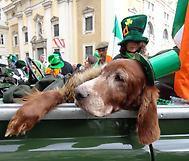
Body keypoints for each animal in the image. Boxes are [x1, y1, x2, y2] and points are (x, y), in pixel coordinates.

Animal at [5, 58, 159, 145]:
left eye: (120, 78)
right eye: (101, 72)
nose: (78, 92)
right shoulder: (66, 88)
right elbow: (51, 94)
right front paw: (22, 119)